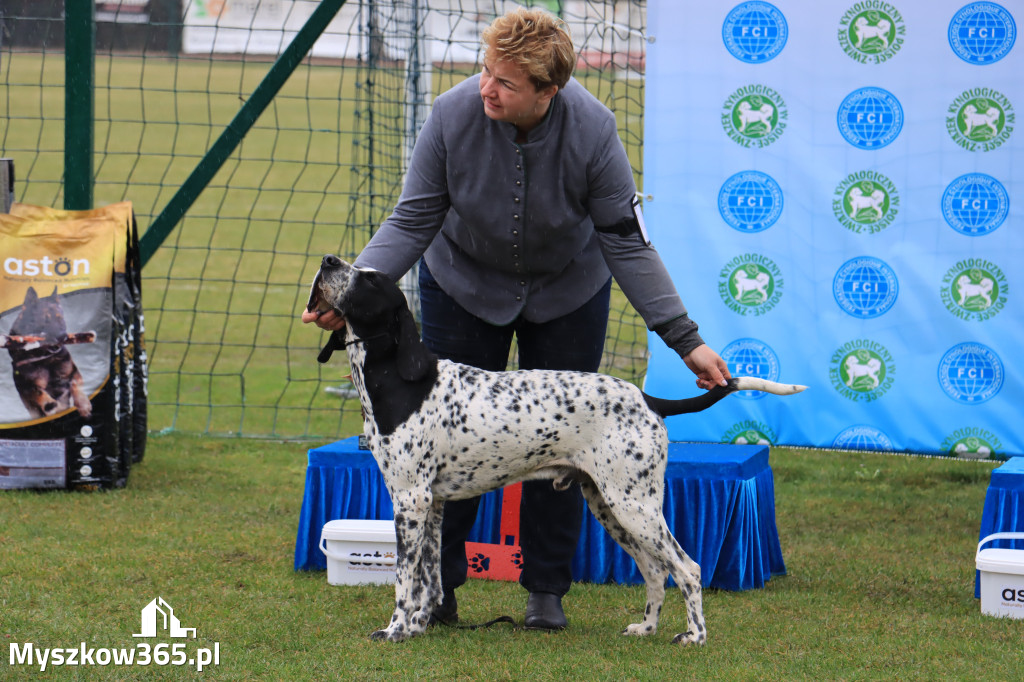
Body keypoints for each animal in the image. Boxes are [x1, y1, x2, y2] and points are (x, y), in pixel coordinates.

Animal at [307, 254, 802, 643]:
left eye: (370, 280)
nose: (328, 260)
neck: (400, 379)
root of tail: (647, 399)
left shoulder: (410, 500)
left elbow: (403, 581)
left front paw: (394, 630)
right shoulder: (430, 505)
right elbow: (428, 579)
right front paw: (415, 627)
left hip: (635, 506)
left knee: (688, 567)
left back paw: (695, 635)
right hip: (609, 506)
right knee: (655, 571)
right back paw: (646, 628)